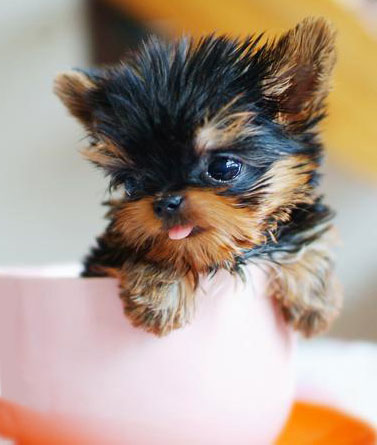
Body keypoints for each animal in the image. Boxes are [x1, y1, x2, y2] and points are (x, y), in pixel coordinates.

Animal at [55, 17, 340, 336]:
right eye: (131, 183)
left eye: (223, 168)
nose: (165, 202)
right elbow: (159, 248)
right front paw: (160, 294)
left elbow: (309, 232)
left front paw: (313, 299)